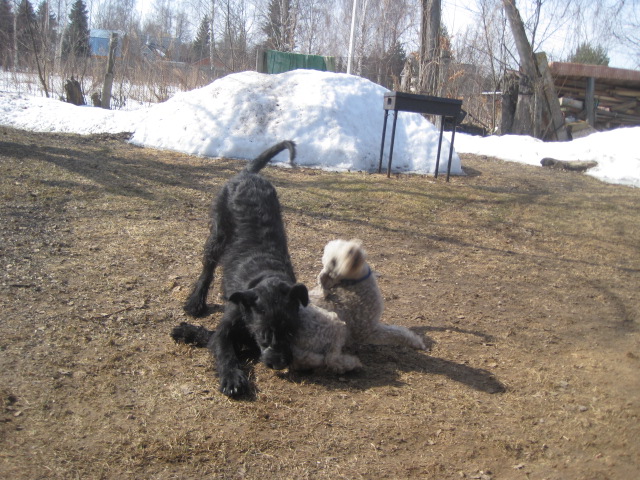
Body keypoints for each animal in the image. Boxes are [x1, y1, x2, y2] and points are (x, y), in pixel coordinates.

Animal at [182, 141, 309, 397]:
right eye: (263, 334)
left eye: (291, 331)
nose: (279, 363)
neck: (265, 275)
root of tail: (247, 174)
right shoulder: (225, 328)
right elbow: (225, 351)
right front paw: (232, 378)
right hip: (217, 235)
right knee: (207, 270)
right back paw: (196, 302)